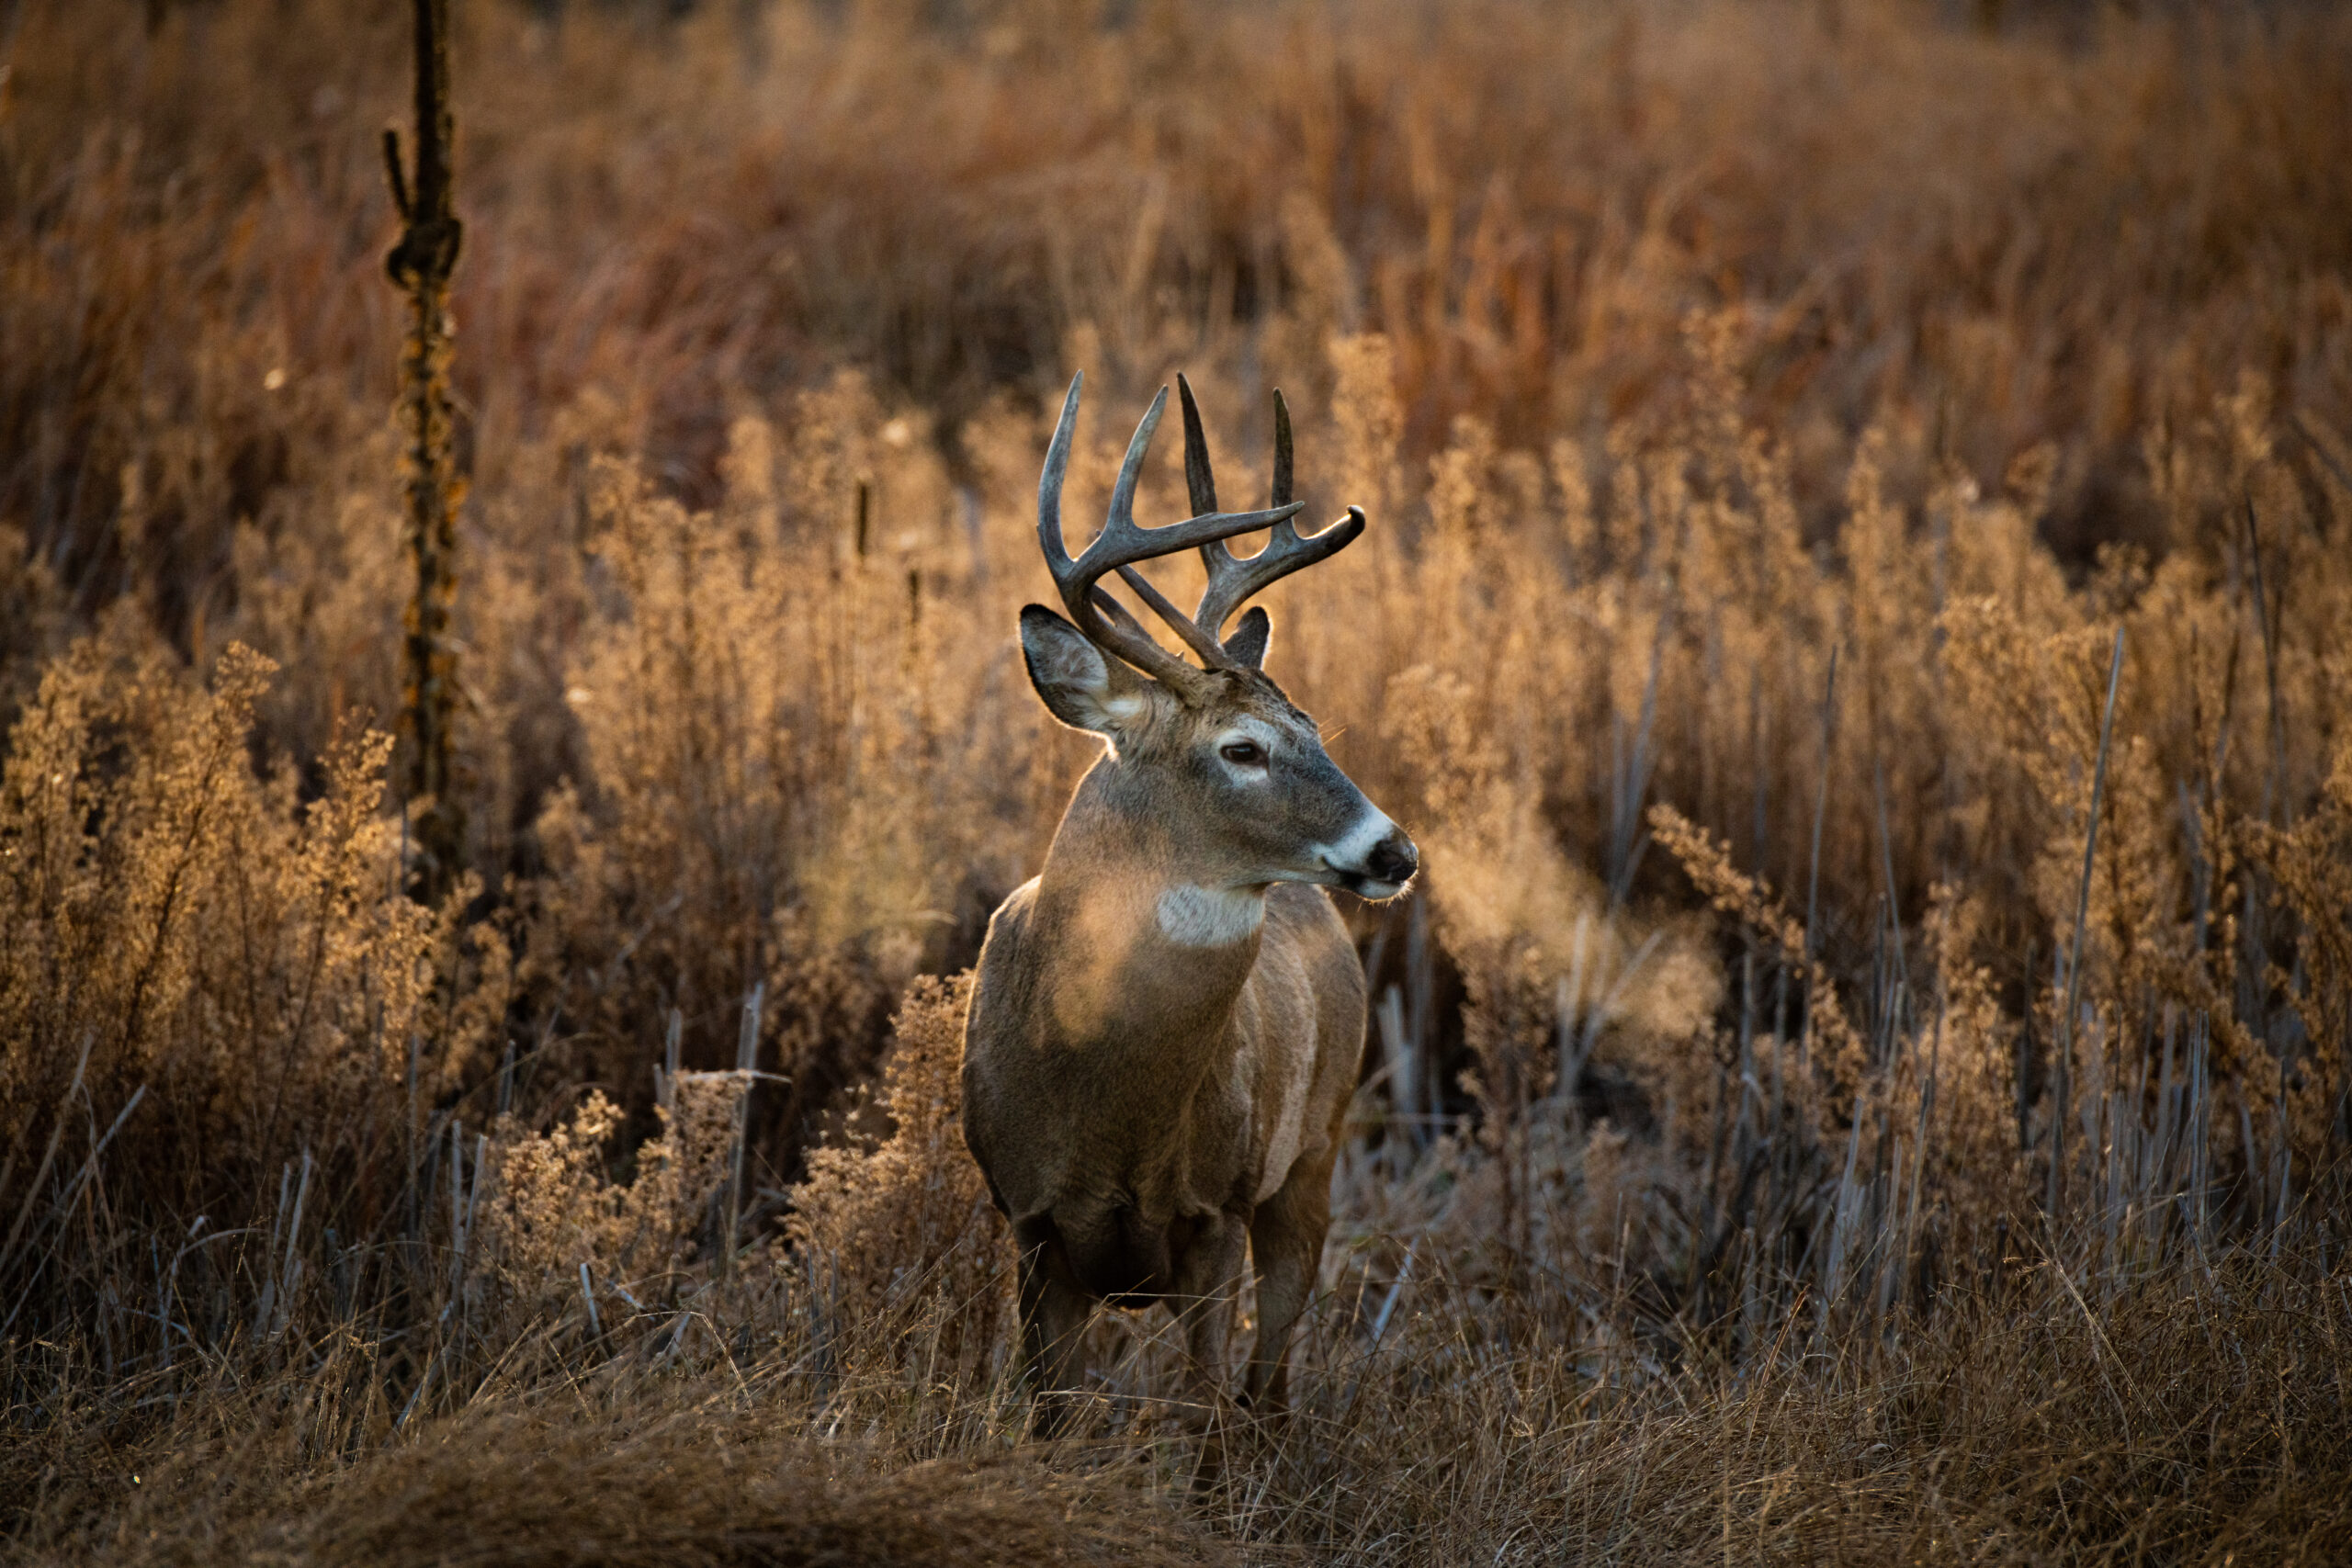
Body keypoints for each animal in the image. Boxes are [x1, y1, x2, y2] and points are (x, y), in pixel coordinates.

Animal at [961, 372, 1417, 1436]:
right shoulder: (1027, 1218)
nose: (1394, 849)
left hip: (1316, 1151)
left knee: (1269, 1375)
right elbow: (1048, 1410)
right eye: (1241, 748)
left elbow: (1209, 1404)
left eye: (1315, 727)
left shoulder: (1217, 1208)